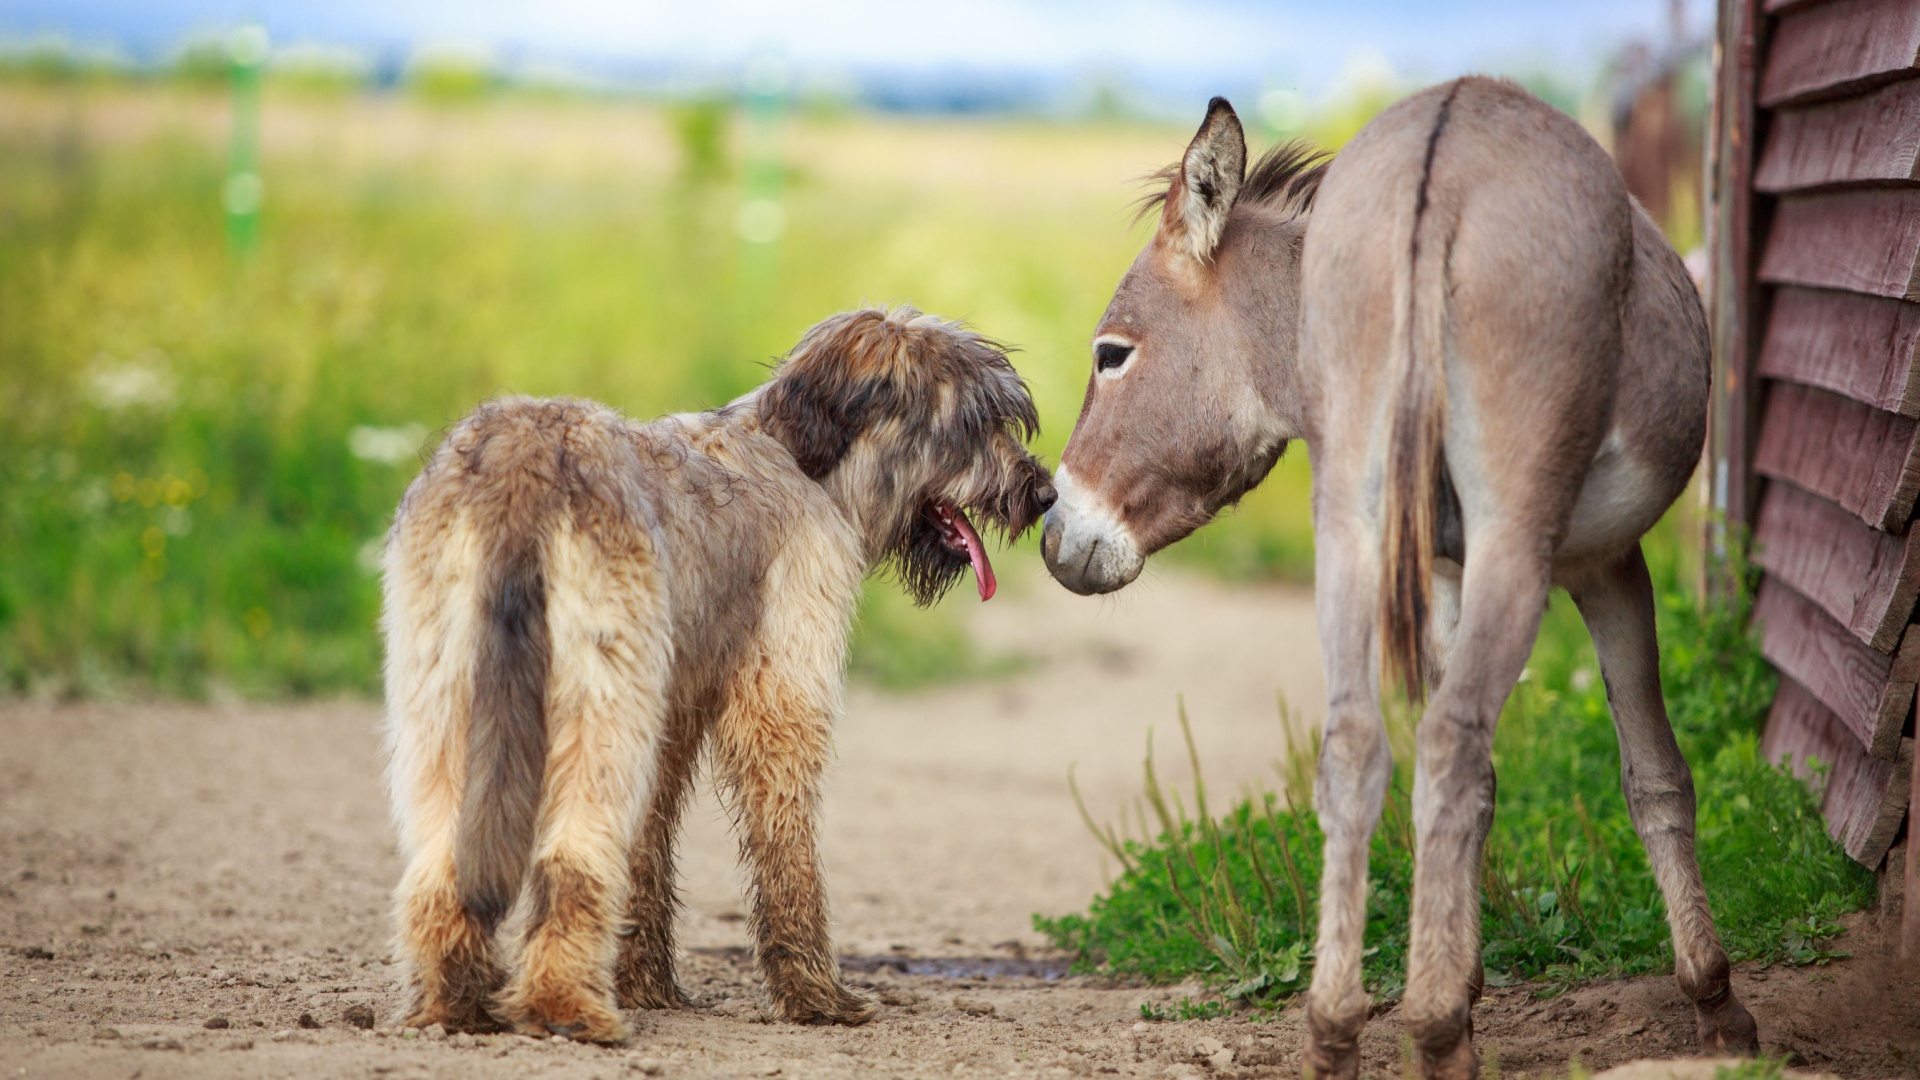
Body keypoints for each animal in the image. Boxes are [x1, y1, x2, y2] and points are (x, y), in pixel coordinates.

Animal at [382, 307, 1059, 1037]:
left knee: (443, 858)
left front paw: (648, 985)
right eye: (975, 422)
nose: (1044, 493)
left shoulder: (672, 713)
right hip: (596, 698)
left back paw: (456, 1003)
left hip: (447, 690)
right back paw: (563, 1007)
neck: (802, 458)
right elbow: (787, 849)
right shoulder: (781, 689)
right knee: (572, 852)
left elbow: (649, 850)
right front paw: (817, 996)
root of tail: (524, 459)